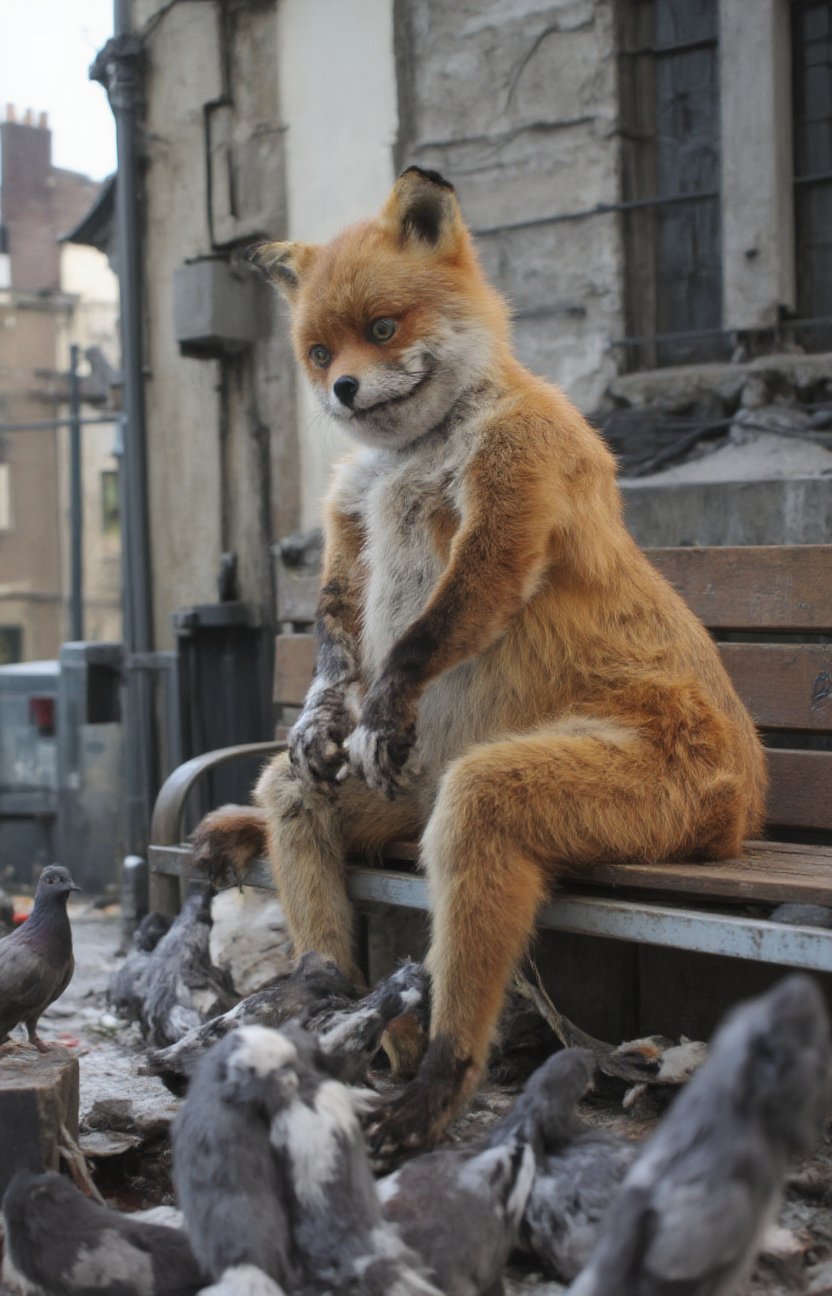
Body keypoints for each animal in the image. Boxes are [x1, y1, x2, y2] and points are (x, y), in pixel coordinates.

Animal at [191, 167, 762, 1161]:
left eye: (383, 329)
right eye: (317, 351)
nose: (344, 389)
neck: (408, 463)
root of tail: (745, 818)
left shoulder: (509, 499)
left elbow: (427, 632)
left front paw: (383, 705)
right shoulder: (348, 532)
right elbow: (339, 648)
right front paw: (328, 714)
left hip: (495, 798)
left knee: (466, 956)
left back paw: (429, 1093)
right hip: (385, 806)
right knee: (294, 808)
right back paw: (337, 1004)